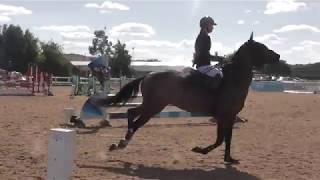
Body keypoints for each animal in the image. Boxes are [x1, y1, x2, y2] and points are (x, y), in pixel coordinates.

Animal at [90, 33, 280, 164]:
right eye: (261, 47)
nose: (278, 56)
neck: (233, 79)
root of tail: (148, 75)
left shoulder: (229, 117)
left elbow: (227, 139)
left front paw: (229, 159)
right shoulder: (226, 116)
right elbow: (220, 140)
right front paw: (200, 150)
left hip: (152, 105)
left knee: (131, 113)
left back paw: (122, 142)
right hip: (154, 107)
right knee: (134, 119)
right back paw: (123, 142)